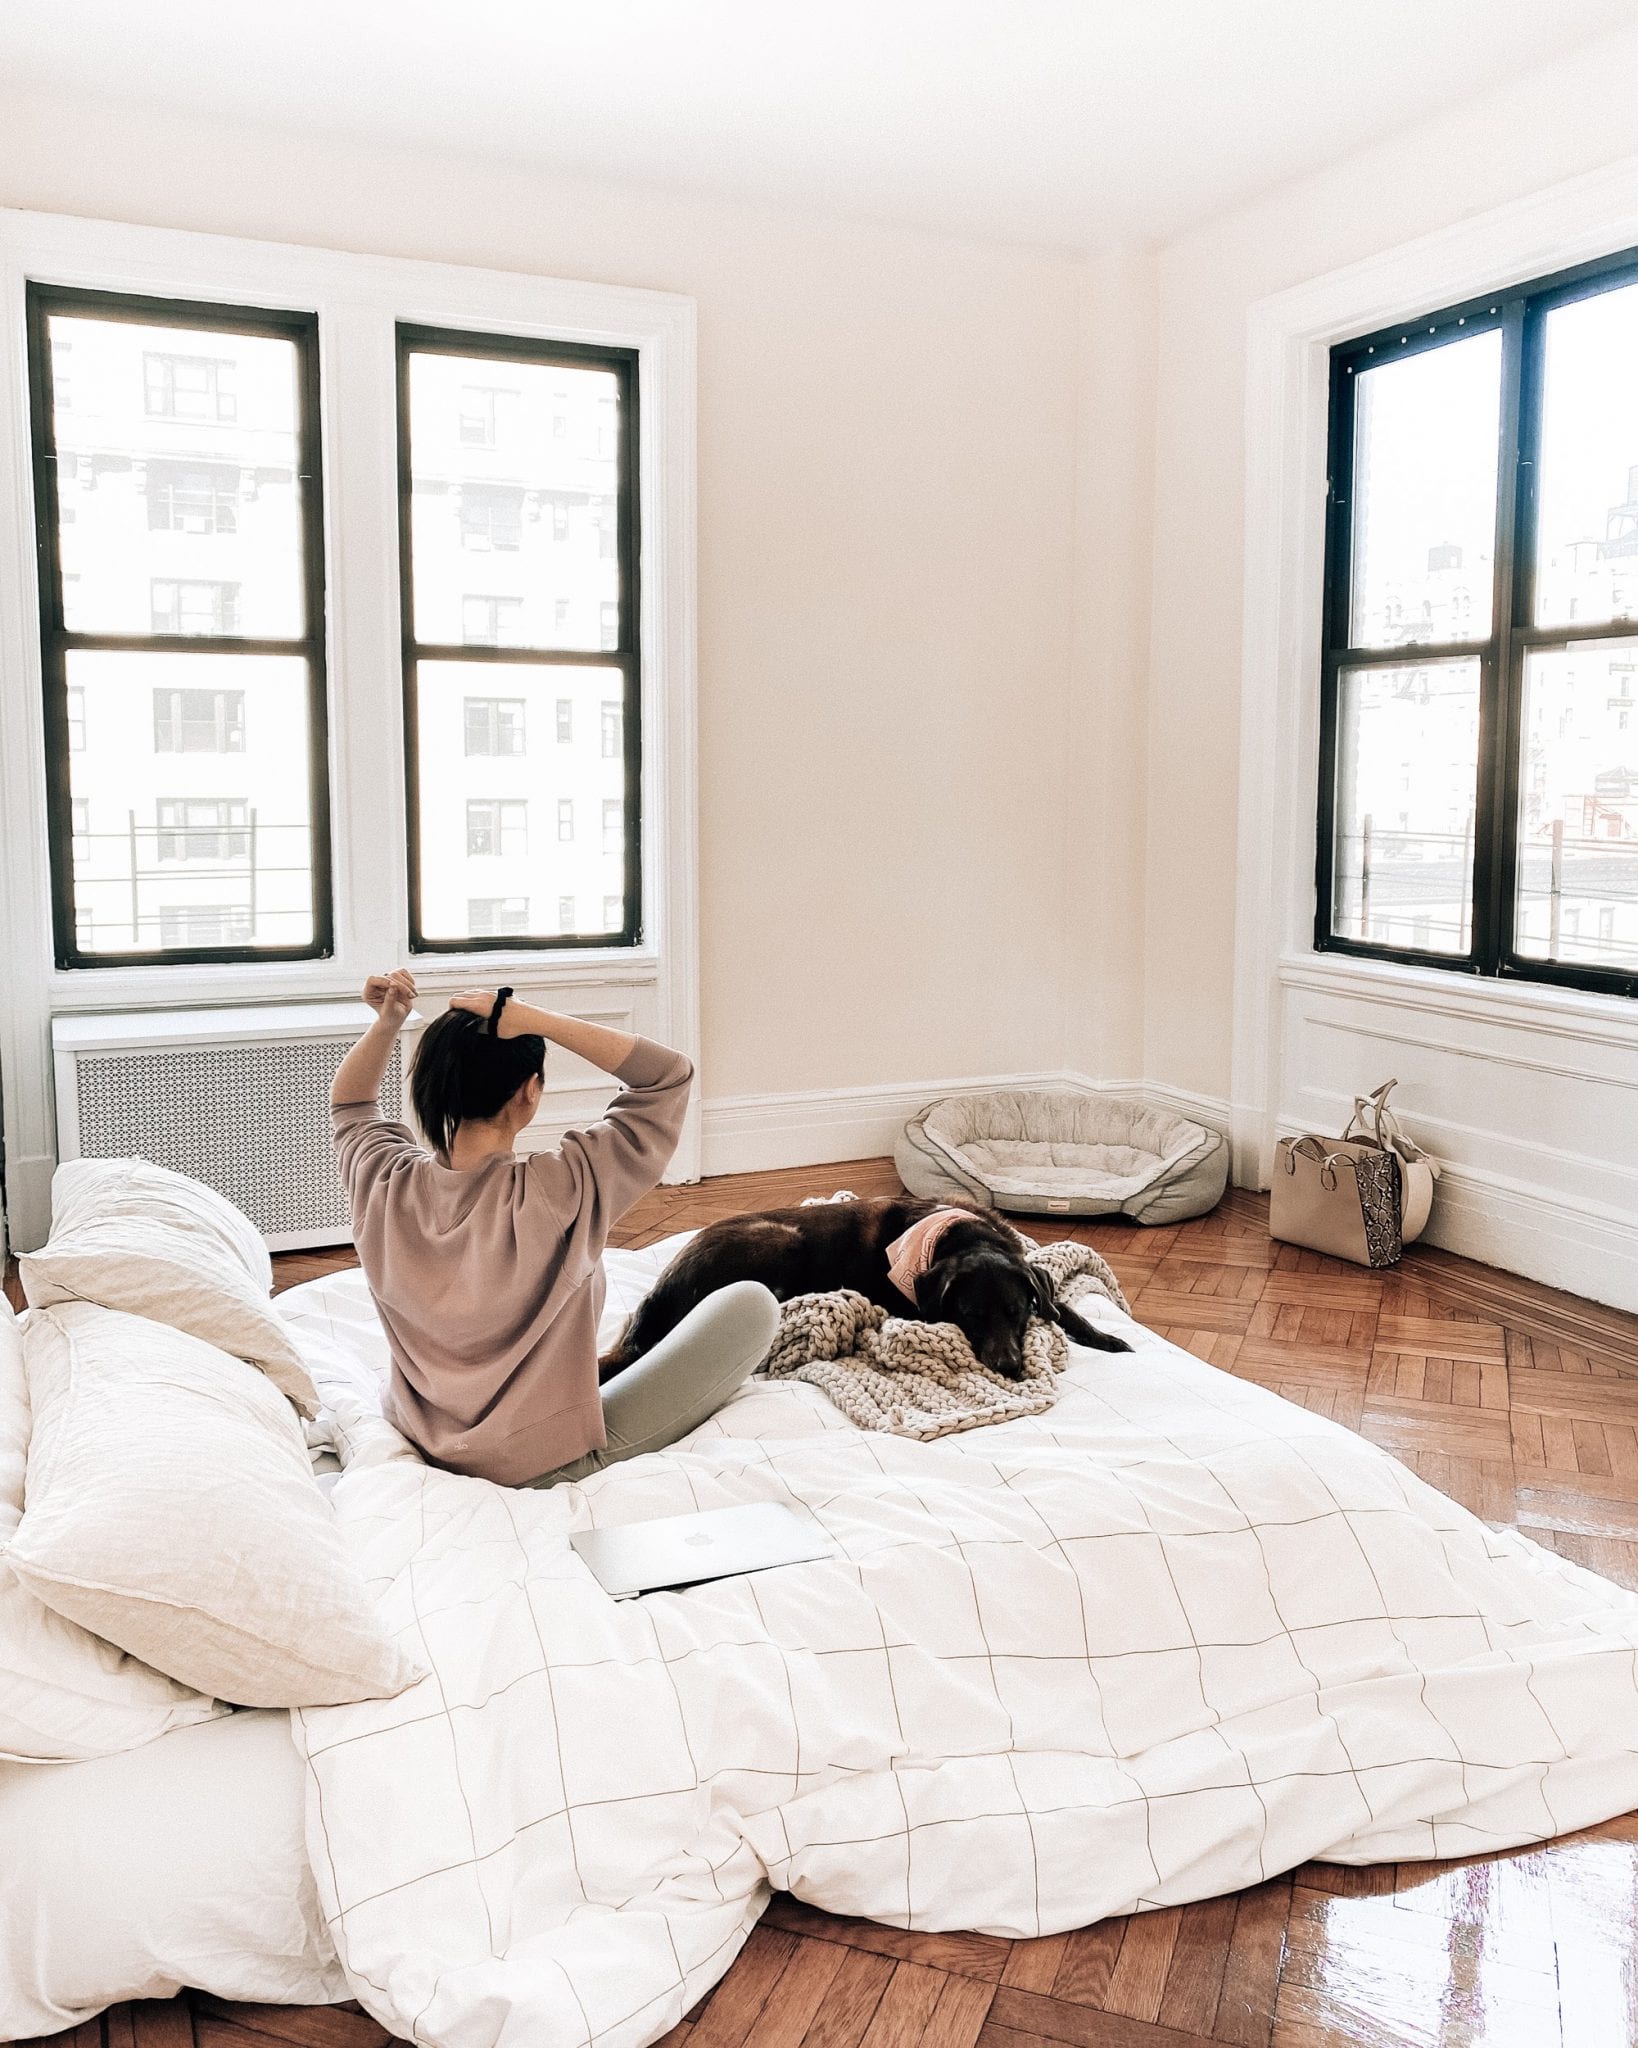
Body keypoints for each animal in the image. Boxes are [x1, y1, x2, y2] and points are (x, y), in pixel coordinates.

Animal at [606, 1196, 1130, 1384]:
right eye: (968, 1315)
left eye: (1017, 1312)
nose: (1008, 1369)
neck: (960, 1234)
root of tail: (659, 1293)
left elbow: (1062, 1306)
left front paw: (1108, 1338)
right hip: (778, 1242)